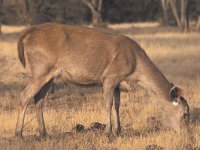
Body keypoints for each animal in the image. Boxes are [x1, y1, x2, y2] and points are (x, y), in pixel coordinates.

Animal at [15, 22, 191, 142]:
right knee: (24, 95)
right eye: (185, 114)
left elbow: (118, 104)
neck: (135, 68)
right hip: (41, 68)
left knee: (38, 99)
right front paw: (108, 133)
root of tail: (26, 34)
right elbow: (108, 104)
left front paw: (119, 130)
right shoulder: (110, 76)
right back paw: (19, 134)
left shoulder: (118, 81)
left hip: (49, 75)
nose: (186, 134)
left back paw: (43, 133)